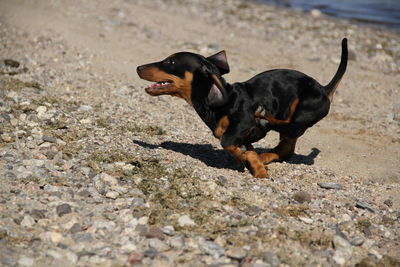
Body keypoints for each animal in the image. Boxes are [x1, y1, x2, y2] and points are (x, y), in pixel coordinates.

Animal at [137, 38, 346, 178]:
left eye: (170, 61)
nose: (138, 68)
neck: (221, 100)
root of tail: (325, 89)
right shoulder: (243, 137)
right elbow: (244, 149)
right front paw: (257, 168)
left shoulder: (243, 125)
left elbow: (227, 143)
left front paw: (245, 160)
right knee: (286, 148)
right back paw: (264, 157)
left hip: (301, 113)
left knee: (286, 126)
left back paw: (265, 118)